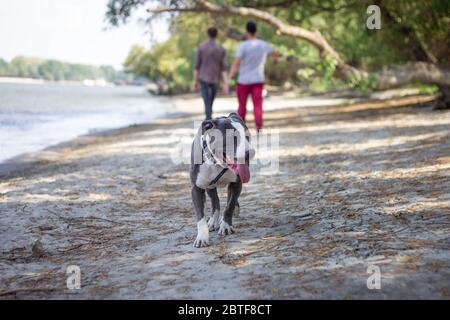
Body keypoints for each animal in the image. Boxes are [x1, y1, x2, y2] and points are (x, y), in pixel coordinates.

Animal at [188, 112, 255, 248]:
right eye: (232, 137)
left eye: (247, 136)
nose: (250, 153)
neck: (217, 163)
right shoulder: (196, 188)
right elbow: (200, 216)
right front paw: (202, 237)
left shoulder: (236, 184)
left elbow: (229, 206)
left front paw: (226, 226)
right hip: (209, 186)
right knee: (215, 201)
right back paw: (213, 220)